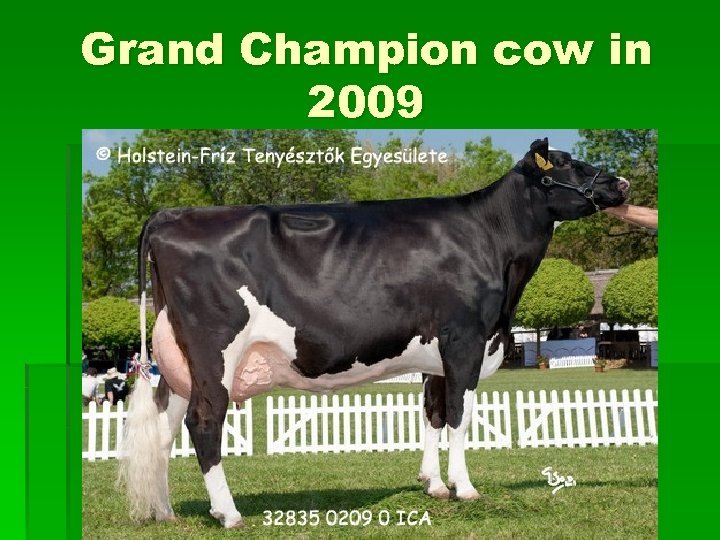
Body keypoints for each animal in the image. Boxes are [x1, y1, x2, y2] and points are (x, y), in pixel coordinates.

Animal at [118, 138, 629, 528]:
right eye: (565, 163)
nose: (621, 184)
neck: (492, 240)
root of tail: (168, 215)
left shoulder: (435, 353)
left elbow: (433, 413)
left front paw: (434, 484)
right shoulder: (465, 338)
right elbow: (459, 415)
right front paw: (464, 487)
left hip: (181, 362)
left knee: (163, 429)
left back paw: (165, 512)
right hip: (214, 352)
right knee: (203, 423)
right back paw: (228, 513)